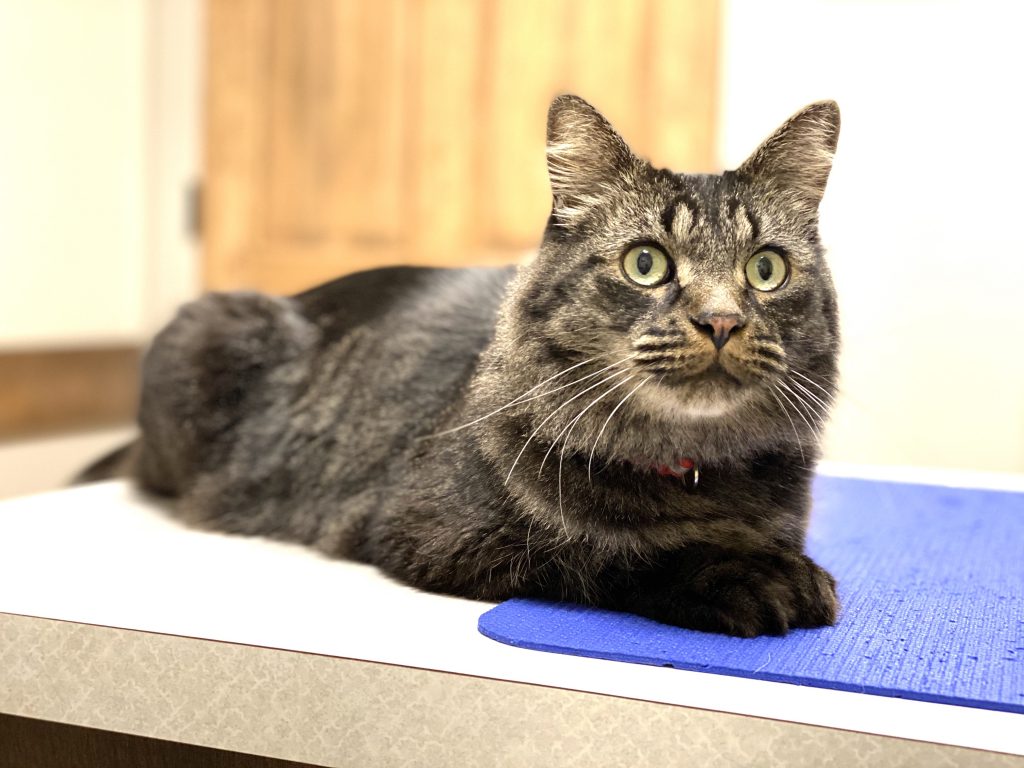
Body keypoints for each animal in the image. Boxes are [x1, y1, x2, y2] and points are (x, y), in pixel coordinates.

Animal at [114, 96, 839, 638]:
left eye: (765, 270)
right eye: (646, 263)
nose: (721, 321)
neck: (690, 471)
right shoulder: (438, 534)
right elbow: (613, 550)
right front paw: (751, 575)